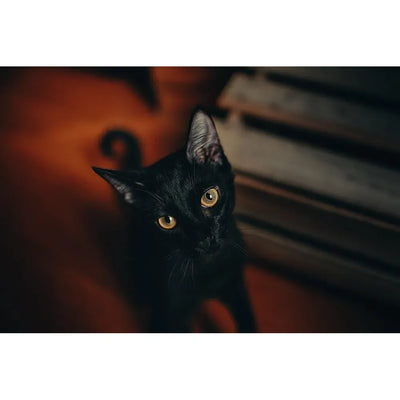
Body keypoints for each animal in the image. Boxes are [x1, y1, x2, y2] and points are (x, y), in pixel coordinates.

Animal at [93, 108, 256, 332]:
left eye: (209, 197)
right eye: (166, 221)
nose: (204, 238)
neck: (208, 269)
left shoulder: (236, 285)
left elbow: (248, 321)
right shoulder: (174, 310)